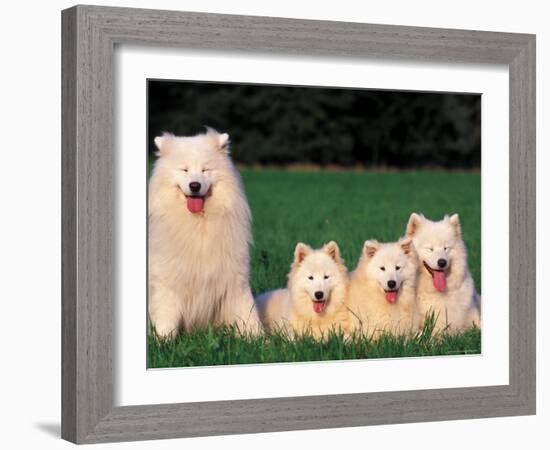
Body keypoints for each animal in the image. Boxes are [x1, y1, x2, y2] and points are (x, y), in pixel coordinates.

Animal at [149, 127, 260, 338]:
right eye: (184, 169)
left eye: (205, 170)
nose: (195, 185)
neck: (199, 225)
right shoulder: (168, 283)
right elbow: (166, 318)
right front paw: (163, 341)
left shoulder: (234, 279)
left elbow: (247, 314)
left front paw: (259, 339)